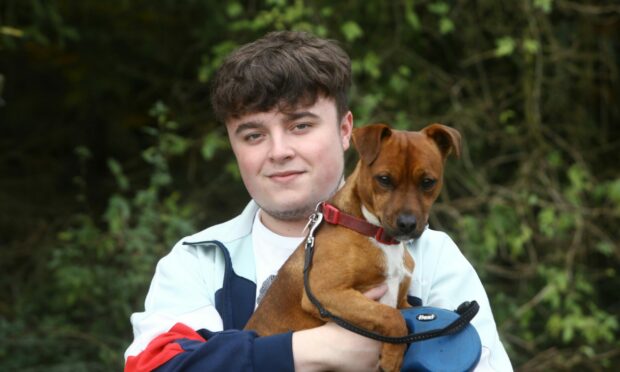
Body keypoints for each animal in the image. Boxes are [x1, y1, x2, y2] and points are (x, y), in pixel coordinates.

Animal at [245, 123, 462, 370]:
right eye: (384, 179)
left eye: (428, 182)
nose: (407, 224)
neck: (374, 233)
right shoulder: (325, 292)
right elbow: (390, 316)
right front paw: (393, 357)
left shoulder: (402, 302)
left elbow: (404, 318)